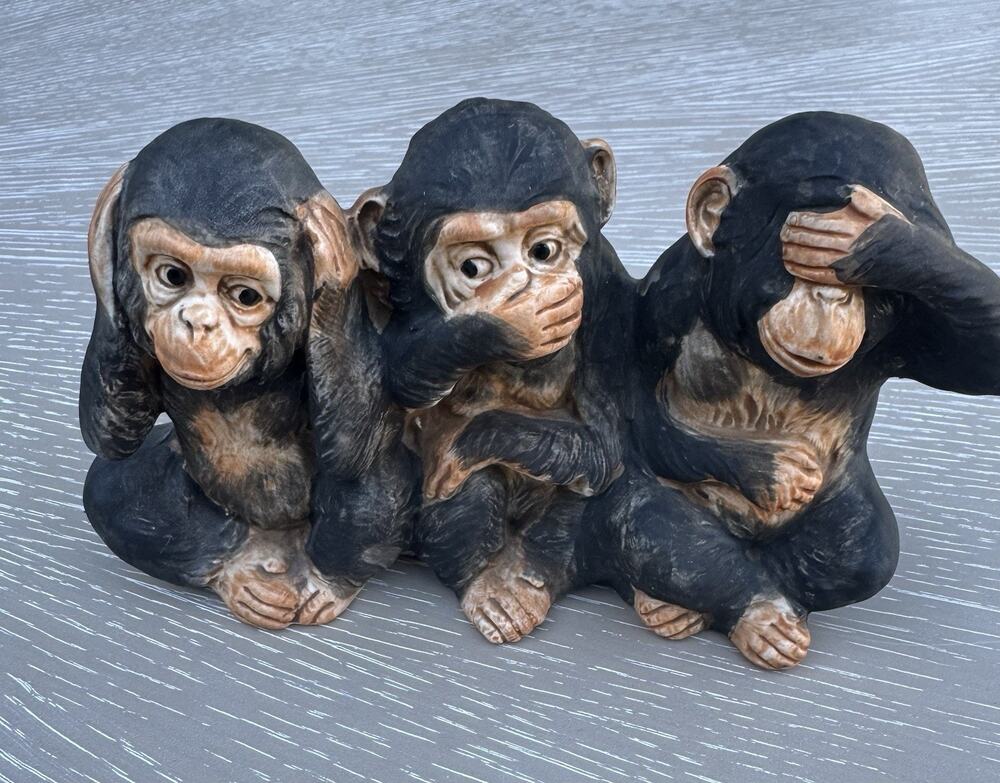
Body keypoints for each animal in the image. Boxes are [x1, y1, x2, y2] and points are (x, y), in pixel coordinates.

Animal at [80, 118, 414, 630]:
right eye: (173, 276)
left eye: (244, 296)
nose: (198, 322)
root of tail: (278, 541)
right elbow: (109, 438)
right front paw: (102, 230)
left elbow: (357, 444)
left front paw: (334, 261)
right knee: (109, 487)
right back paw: (235, 570)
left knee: (374, 481)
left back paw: (327, 584)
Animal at [349, 98, 633, 643]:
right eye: (474, 268)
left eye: (543, 250)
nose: (526, 286)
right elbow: (398, 377)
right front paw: (501, 324)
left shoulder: (610, 299)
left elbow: (609, 444)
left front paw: (469, 444)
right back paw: (486, 584)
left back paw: (529, 576)